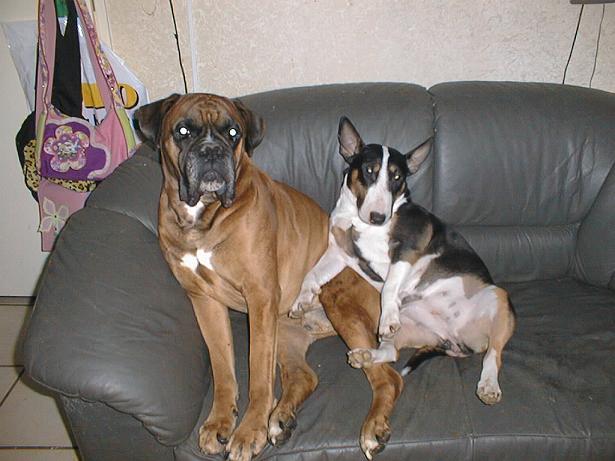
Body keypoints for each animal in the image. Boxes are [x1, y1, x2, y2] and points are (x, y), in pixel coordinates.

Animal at [134, 95, 403, 461]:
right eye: (183, 131)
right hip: (286, 330)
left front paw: (250, 431)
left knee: (388, 377)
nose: (211, 152)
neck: (203, 216)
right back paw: (281, 419)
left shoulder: (259, 297)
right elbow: (223, 367)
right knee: (304, 377)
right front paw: (220, 422)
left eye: (233, 132)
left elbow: (258, 374)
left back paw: (372, 428)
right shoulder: (205, 301)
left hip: (337, 303)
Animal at [291, 116, 515, 405]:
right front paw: (301, 301)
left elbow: (389, 286)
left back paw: (488, 386)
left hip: (498, 300)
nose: (378, 217)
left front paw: (388, 314)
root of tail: (457, 341)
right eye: (369, 170)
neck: (358, 220)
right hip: (410, 327)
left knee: (493, 355)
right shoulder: (339, 253)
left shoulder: (406, 249)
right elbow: (313, 274)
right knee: (391, 352)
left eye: (397, 177)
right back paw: (365, 355)